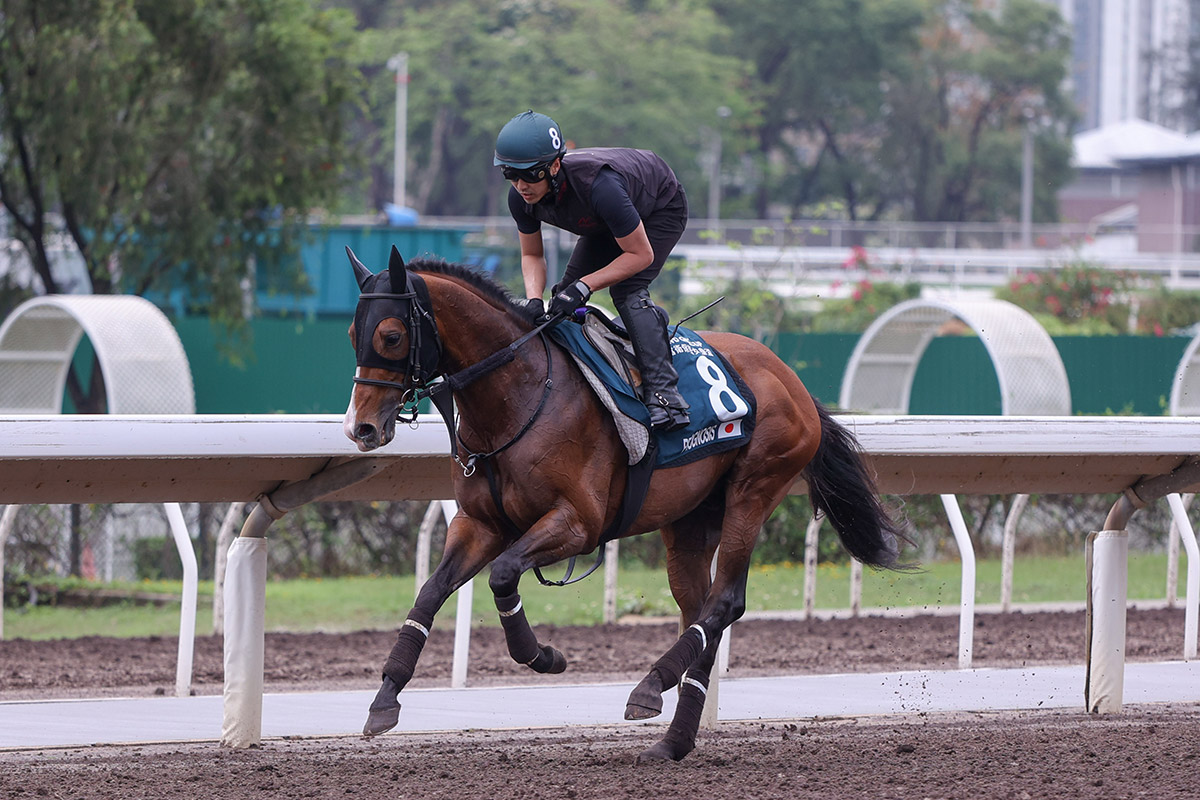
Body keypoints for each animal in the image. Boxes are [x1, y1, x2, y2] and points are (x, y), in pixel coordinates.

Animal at [343, 244, 902, 762]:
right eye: (352, 334)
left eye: (390, 335)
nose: (360, 428)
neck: (520, 396)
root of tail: (793, 381)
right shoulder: (479, 524)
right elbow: (429, 594)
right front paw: (385, 699)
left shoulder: (578, 523)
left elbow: (502, 575)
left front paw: (541, 655)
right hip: (690, 521)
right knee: (703, 610)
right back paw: (673, 739)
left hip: (755, 488)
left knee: (725, 601)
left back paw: (651, 686)